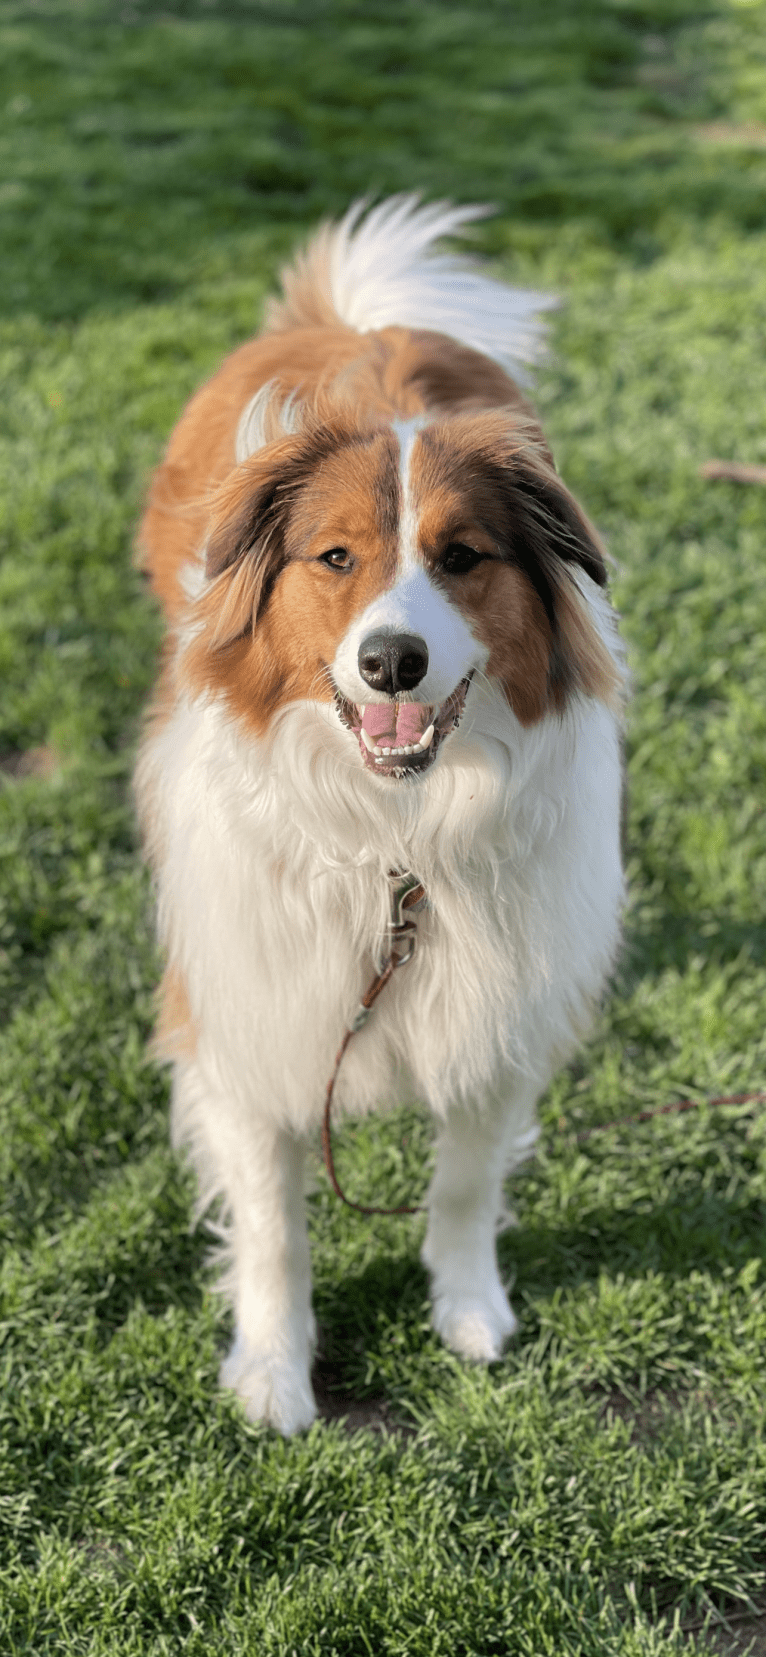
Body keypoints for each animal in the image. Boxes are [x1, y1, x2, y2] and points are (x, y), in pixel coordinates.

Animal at [134, 197, 626, 1438]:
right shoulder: (248, 1018)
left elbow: (463, 1179)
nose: (391, 660)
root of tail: (356, 324)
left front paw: (467, 1309)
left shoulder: (499, 1007)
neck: (396, 839)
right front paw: (272, 1372)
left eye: (461, 559)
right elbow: (272, 1228)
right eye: (335, 558)